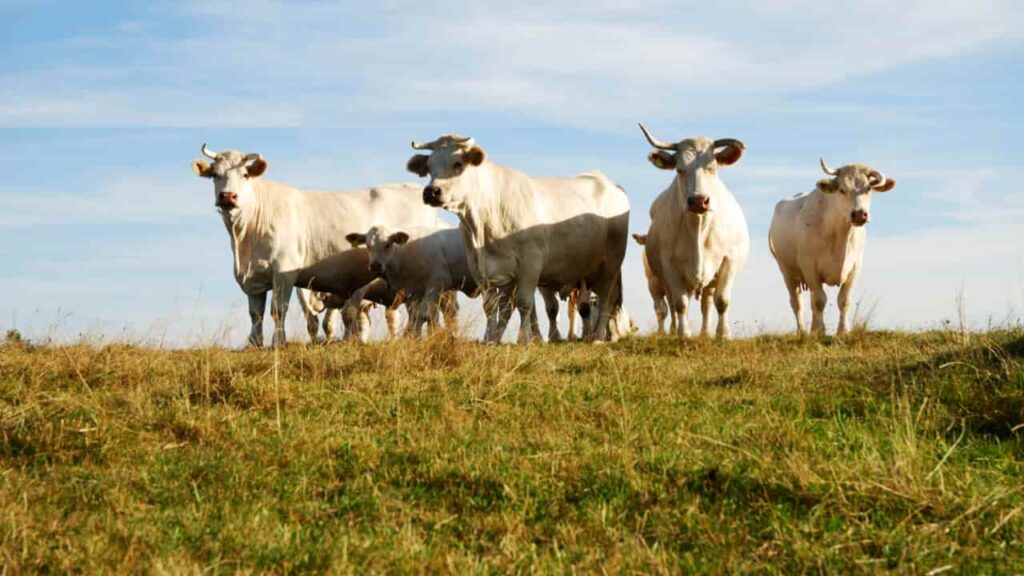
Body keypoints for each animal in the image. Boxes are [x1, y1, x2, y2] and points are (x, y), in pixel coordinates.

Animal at [192, 145, 440, 348]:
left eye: (245, 175)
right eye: (215, 175)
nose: (228, 196)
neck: (244, 240)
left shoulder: (284, 272)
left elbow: (278, 310)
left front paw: (279, 342)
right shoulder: (254, 277)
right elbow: (256, 314)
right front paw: (254, 343)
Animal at [339, 222, 475, 334]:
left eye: (388, 244)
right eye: (367, 245)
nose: (375, 265)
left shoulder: (437, 283)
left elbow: (425, 315)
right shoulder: (414, 292)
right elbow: (415, 319)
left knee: (450, 314)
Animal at [403, 134, 626, 340]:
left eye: (457, 163)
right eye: (429, 166)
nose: (431, 192)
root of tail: (605, 180)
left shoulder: (531, 263)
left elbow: (524, 304)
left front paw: (524, 340)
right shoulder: (482, 268)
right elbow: (494, 307)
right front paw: (490, 339)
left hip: (611, 265)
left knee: (606, 301)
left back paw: (598, 338)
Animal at [634, 120, 749, 336]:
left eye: (712, 168)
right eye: (679, 169)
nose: (698, 201)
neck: (698, 228)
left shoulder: (728, 260)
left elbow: (722, 301)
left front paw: (723, 334)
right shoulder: (670, 266)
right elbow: (680, 304)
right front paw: (683, 334)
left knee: (707, 303)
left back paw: (705, 333)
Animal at [770, 157, 897, 336]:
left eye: (869, 189)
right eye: (842, 190)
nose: (859, 214)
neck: (840, 236)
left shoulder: (855, 268)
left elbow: (843, 300)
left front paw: (843, 330)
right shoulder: (809, 267)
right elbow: (819, 300)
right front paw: (819, 331)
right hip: (787, 271)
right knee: (797, 303)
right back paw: (802, 331)